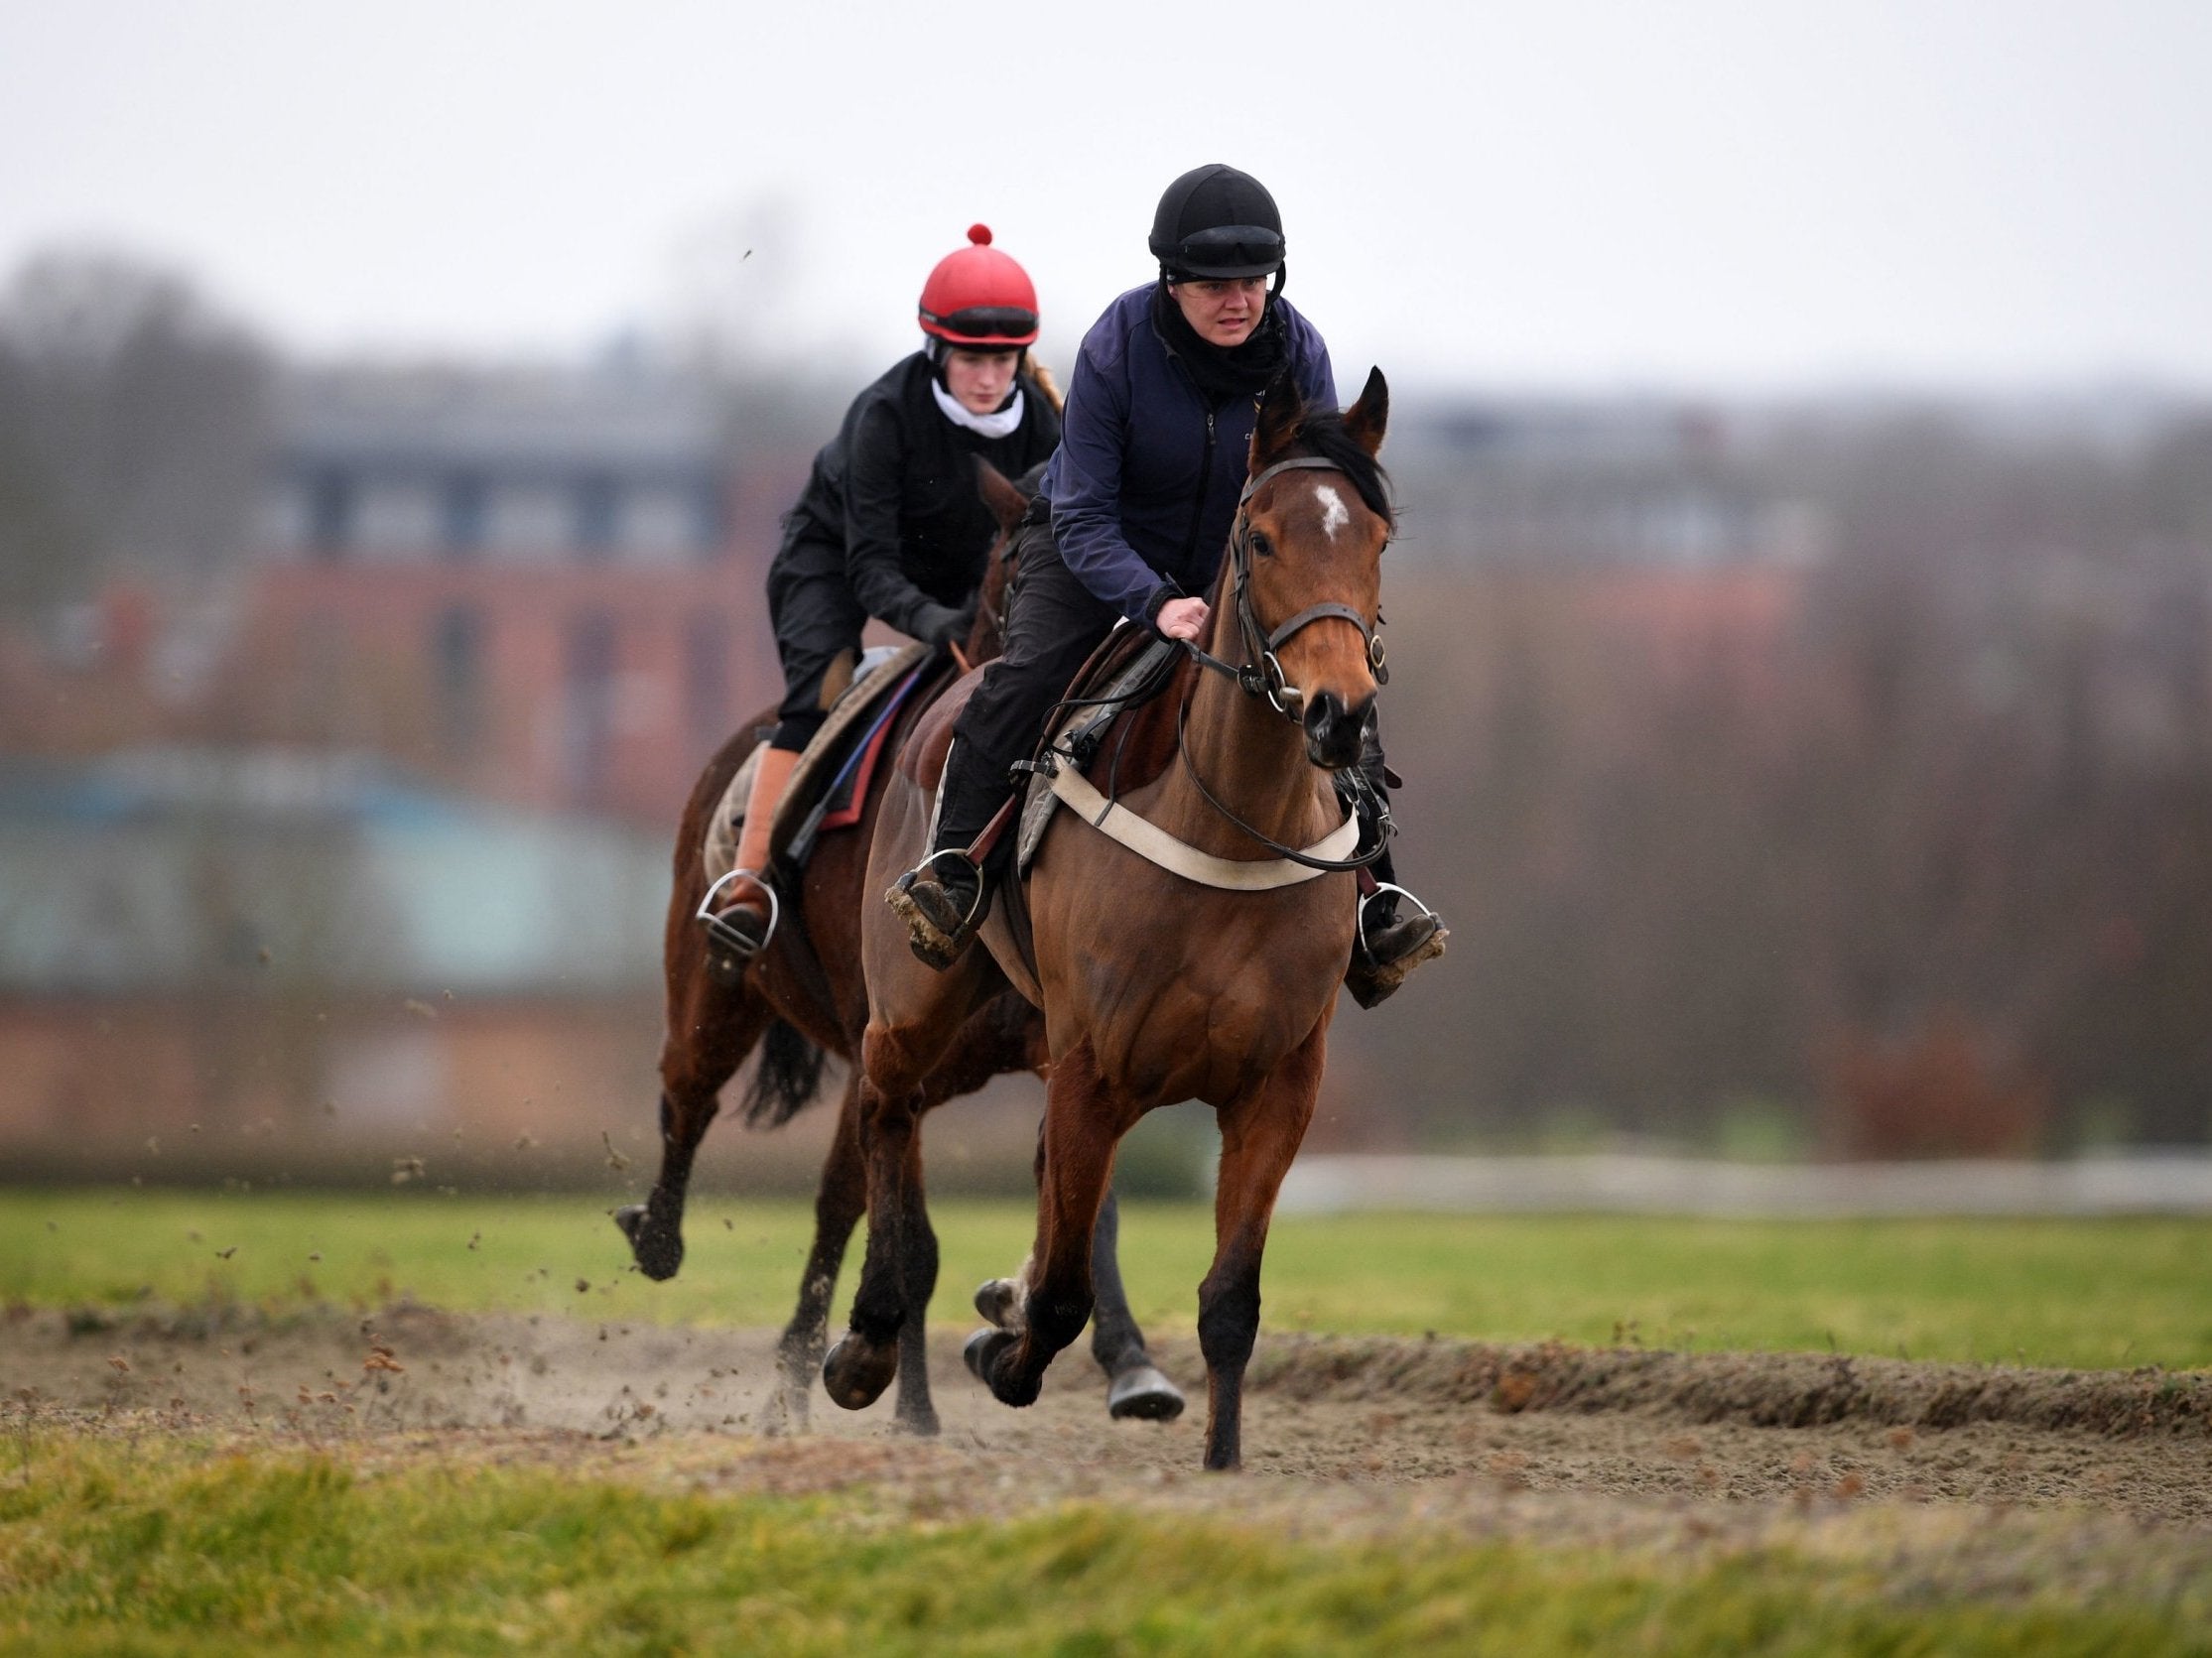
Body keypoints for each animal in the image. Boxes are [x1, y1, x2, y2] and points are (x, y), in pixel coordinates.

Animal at [614, 461, 1185, 1432]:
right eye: (1018, 569)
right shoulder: (896, 1047)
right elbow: (913, 1241)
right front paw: (907, 1400)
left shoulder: (1066, 1047)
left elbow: (1083, 1215)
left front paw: (1128, 1365)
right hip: (717, 987)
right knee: (689, 1094)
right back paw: (661, 1242)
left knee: (838, 1200)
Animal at [832, 373, 1397, 1467]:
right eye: (1260, 538)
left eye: (1378, 538)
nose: (1339, 712)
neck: (1231, 829)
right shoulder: (1093, 1065)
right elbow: (1059, 1293)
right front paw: (1001, 1349)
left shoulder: (1278, 1083)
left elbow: (1228, 1302)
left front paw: (1222, 1462)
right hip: (918, 996)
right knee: (884, 1103)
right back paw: (868, 1340)